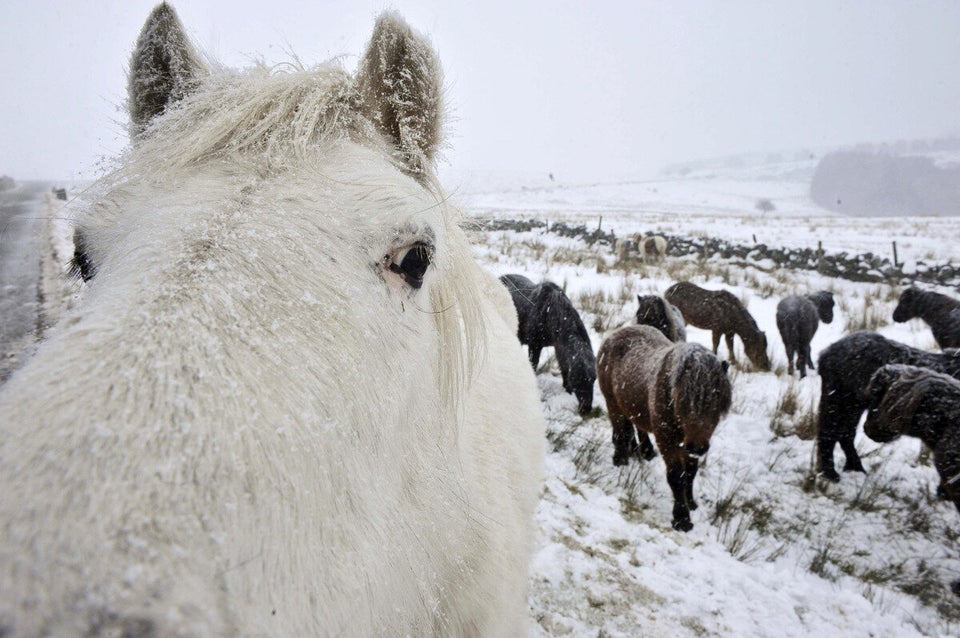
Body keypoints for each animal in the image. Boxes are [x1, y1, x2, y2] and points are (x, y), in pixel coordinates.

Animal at [502, 276, 592, 416]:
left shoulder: (558, 346)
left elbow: (564, 366)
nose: (586, 409)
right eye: (577, 381)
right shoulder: (535, 345)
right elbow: (533, 364)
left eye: (594, 380)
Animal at [596, 328, 732, 532]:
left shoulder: (687, 444)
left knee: (636, 427)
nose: (698, 448)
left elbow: (690, 473)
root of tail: (615, 334)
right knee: (620, 429)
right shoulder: (667, 440)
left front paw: (691, 503)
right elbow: (676, 476)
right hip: (612, 403)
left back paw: (644, 451)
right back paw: (620, 458)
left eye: (717, 403)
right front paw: (682, 519)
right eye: (683, 400)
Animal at [812, 332, 960, 482]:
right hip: (838, 401)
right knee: (828, 433)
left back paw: (855, 469)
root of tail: (826, 353)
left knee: (845, 434)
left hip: (852, 407)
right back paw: (831, 474)